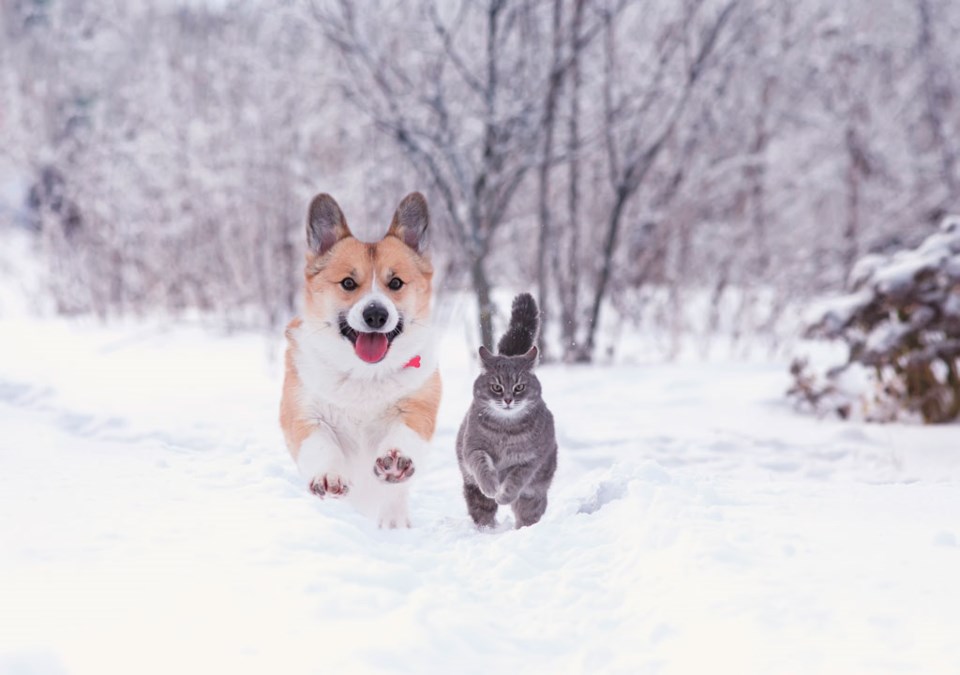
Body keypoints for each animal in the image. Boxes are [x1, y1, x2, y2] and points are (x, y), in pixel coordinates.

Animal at [278, 190, 442, 528]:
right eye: (348, 284)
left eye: (396, 283)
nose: (376, 314)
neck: (365, 373)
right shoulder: (303, 415)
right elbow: (321, 445)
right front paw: (328, 476)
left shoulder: (418, 408)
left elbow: (404, 432)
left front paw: (395, 460)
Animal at [456, 294, 560, 532]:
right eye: (496, 387)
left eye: (519, 387)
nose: (508, 399)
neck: (505, 430)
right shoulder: (473, 448)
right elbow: (482, 467)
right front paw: (492, 486)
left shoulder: (530, 461)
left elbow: (515, 481)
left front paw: (504, 495)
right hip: (473, 490)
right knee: (482, 510)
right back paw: (486, 530)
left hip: (535, 493)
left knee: (528, 511)